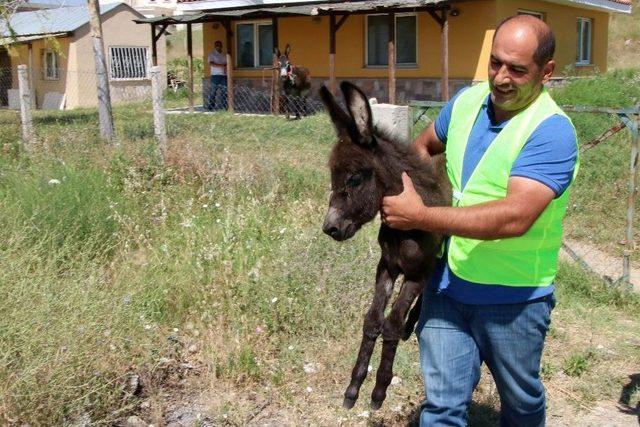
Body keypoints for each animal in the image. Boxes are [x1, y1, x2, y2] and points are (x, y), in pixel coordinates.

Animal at [318, 83, 448, 412]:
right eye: (333, 177)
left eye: (353, 178)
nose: (330, 228)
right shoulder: (387, 267)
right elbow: (372, 321)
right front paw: (353, 387)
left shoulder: (416, 274)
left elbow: (390, 324)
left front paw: (379, 391)